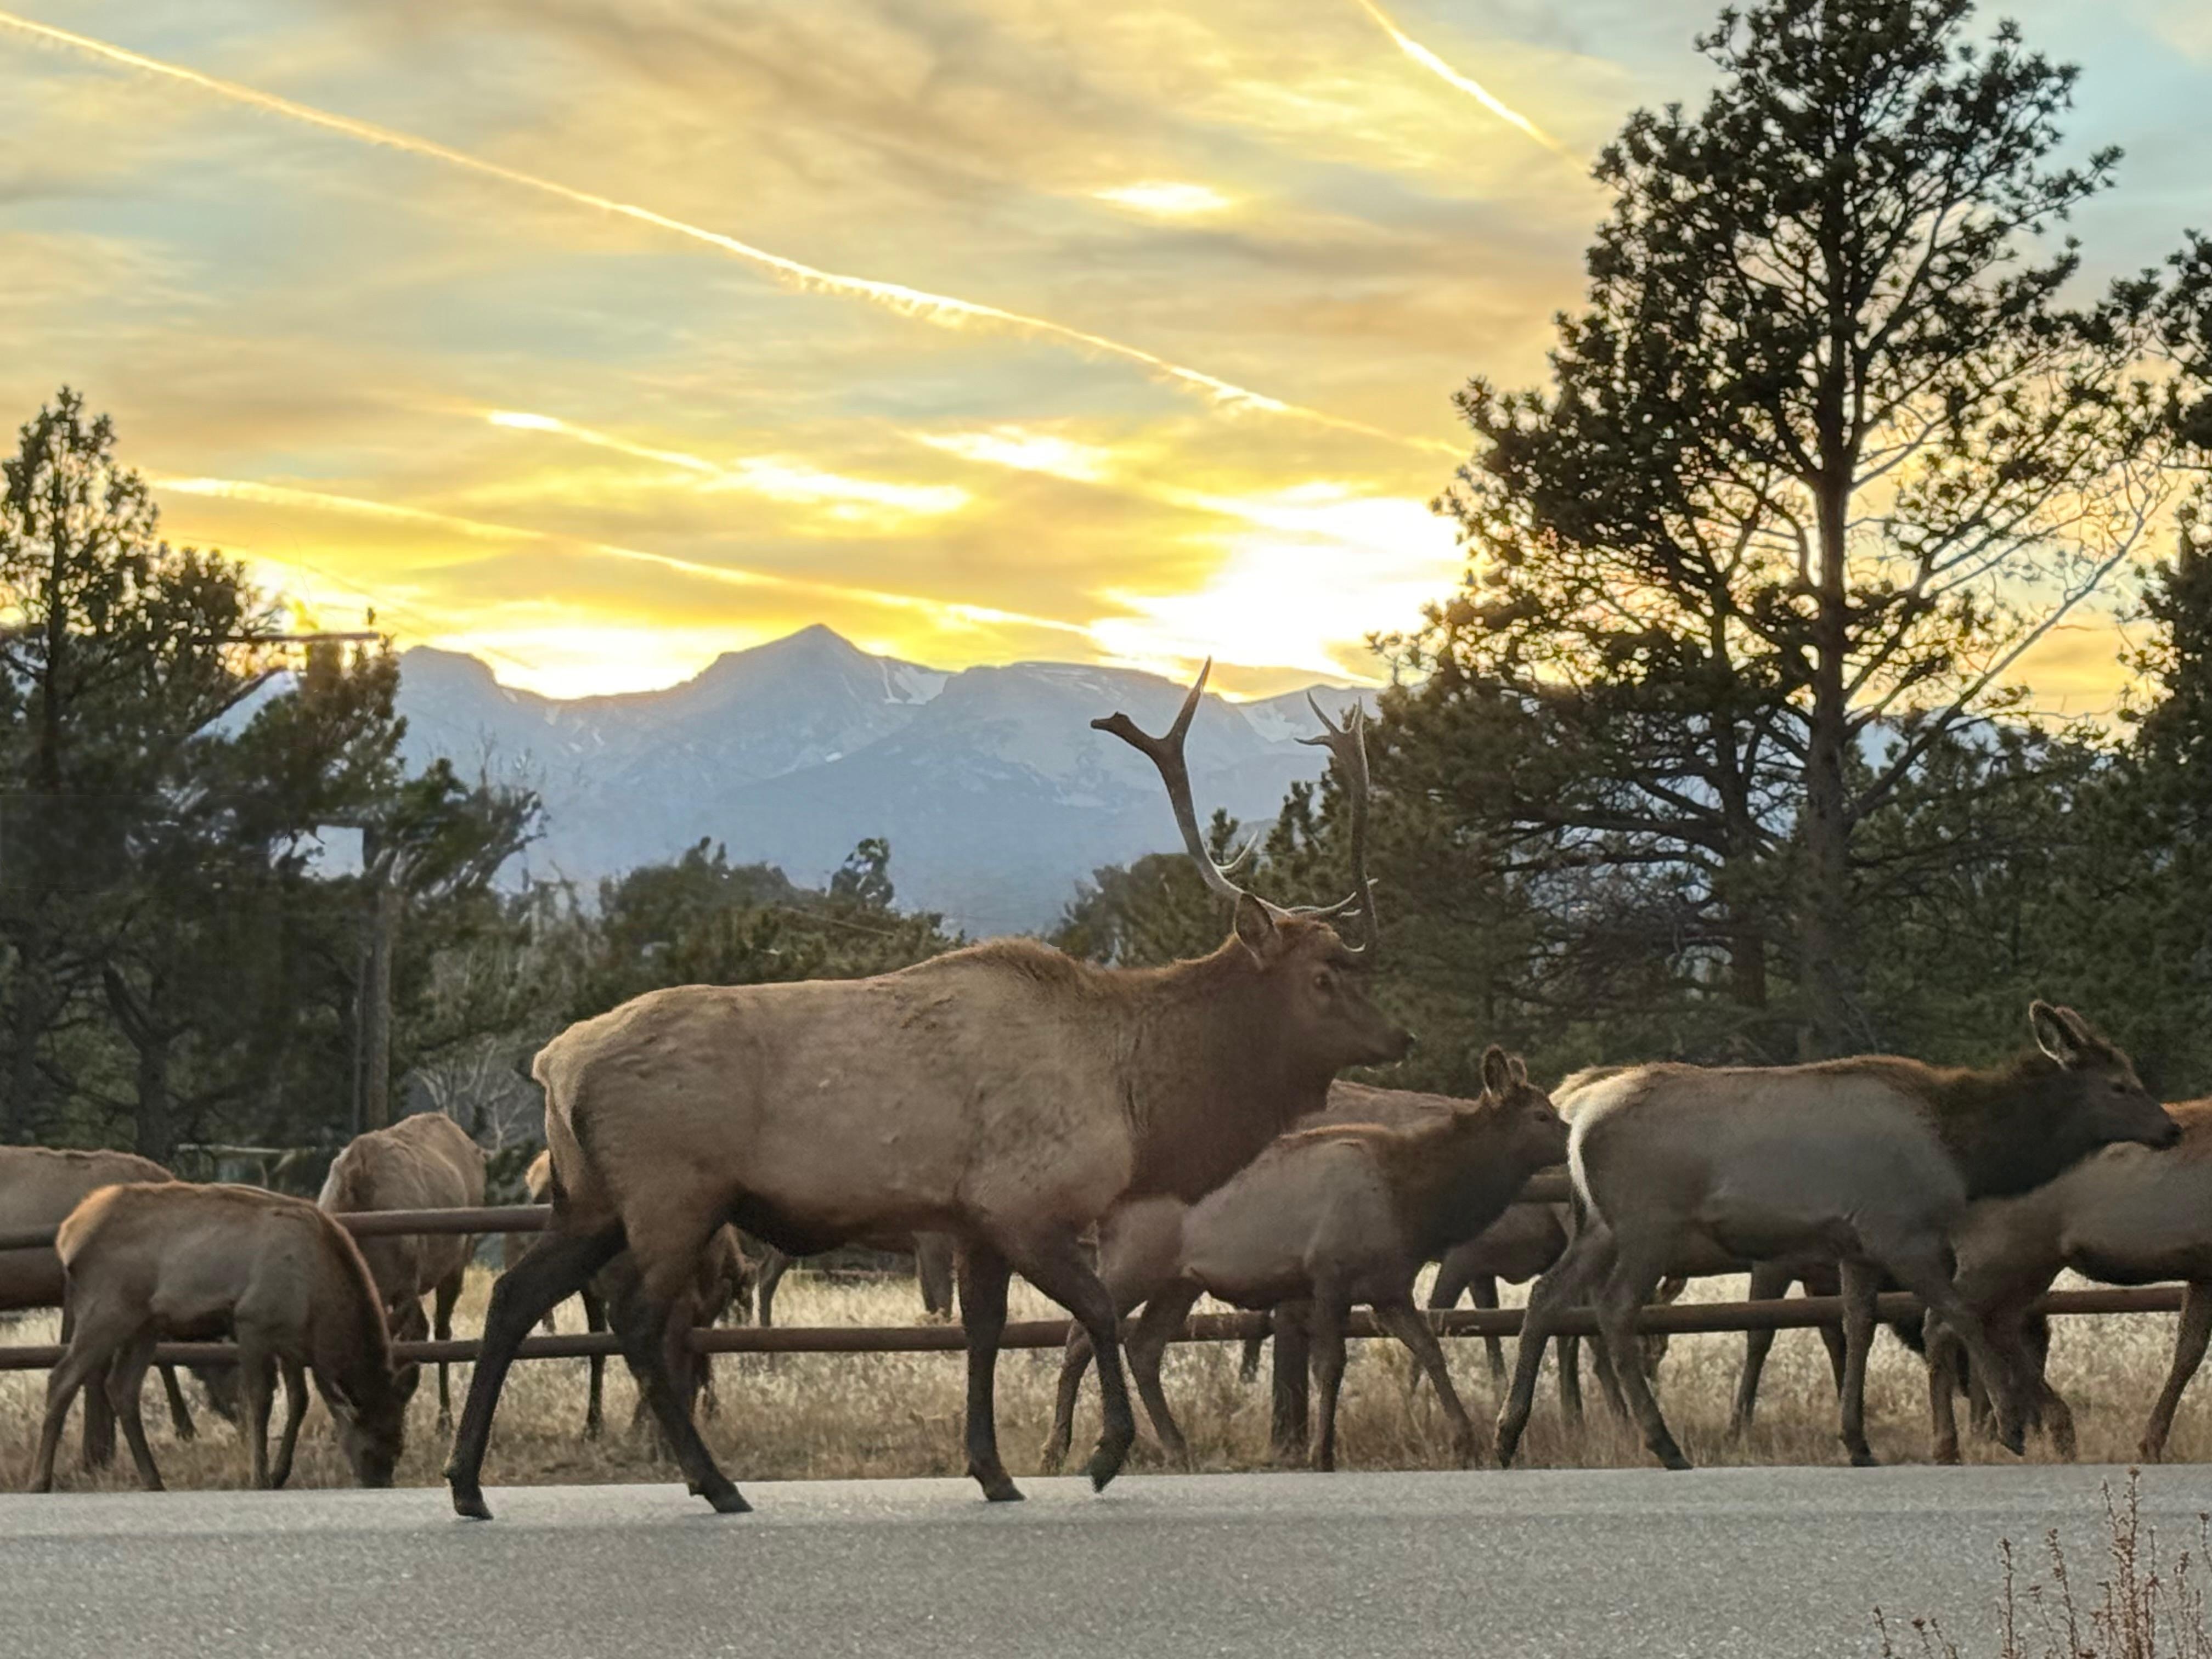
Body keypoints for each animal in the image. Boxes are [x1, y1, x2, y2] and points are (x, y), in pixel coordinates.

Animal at [29, 1182, 416, 1492]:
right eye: (370, 1445)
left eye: (399, 1443)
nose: (379, 1483)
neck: (317, 1302)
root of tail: (67, 1236)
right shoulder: (253, 1322)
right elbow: (260, 1401)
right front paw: (260, 1477)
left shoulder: (291, 1342)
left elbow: (300, 1401)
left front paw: (280, 1474)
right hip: (107, 1310)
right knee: (62, 1378)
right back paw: (40, 1481)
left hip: (145, 1324)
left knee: (122, 1387)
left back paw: (155, 1481)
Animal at [444, 662, 1409, 1518]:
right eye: (1325, 975)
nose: (1400, 1037)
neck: (1135, 1099)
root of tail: (556, 1061)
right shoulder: (1027, 1201)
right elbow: (1096, 1313)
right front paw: (1102, 1454)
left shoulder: (972, 1218)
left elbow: (982, 1334)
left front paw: (994, 1470)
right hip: (673, 1190)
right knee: (641, 1321)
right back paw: (714, 1484)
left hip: (588, 1197)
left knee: (512, 1299)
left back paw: (469, 1485)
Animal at [1118, 1049, 1567, 1470]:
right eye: (1541, 1115)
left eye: (1552, 1108)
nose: (1572, 1136)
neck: (1412, 1205)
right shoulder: (1329, 1274)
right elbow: (1331, 1366)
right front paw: (1321, 1453)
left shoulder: (1389, 1289)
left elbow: (1430, 1349)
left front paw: (1468, 1443)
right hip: (1131, 1266)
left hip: (1180, 1283)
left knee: (1143, 1348)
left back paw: (1176, 1448)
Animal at [1493, 1003, 2181, 1472]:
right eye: (2120, 1084)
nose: (2170, 1129)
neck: (1965, 1152)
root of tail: (1578, 1119)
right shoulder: (1900, 1232)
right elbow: (1957, 1312)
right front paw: (2011, 1426)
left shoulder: (1856, 1248)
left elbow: (1857, 1327)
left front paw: (1857, 1441)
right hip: (1647, 1225)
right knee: (1613, 1311)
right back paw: (1663, 1444)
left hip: (1599, 1226)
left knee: (1547, 1297)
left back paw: (1507, 1433)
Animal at [1925, 1096, 2212, 1465]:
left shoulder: (2202, 1271)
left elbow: (2188, 1352)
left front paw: (2150, 1444)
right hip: (2001, 1256)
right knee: (1946, 1322)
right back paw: (1951, 1445)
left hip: (2027, 1264)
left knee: (1995, 1325)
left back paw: (2050, 1429)